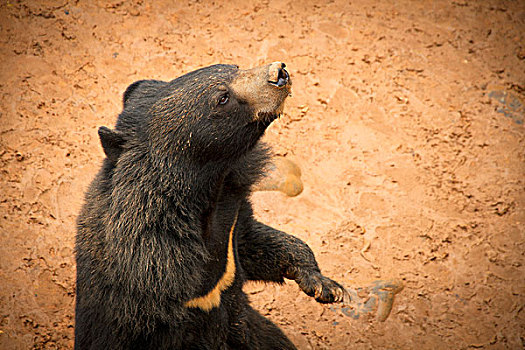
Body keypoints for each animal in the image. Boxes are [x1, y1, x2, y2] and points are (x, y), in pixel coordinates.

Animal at [73, 61, 346, 348]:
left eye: (234, 67)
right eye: (222, 98)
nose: (279, 71)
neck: (209, 191)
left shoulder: (232, 222)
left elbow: (255, 242)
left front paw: (327, 286)